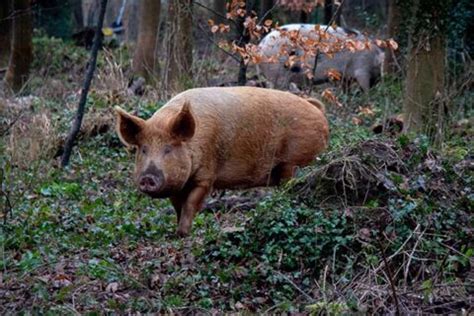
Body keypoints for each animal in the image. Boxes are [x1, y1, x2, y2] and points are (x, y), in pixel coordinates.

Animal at [115, 86, 330, 235]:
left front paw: (183, 234)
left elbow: (191, 203)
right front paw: (176, 232)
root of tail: (317, 110)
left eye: (168, 149)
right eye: (144, 149)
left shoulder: (206, 176)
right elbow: (177, 206)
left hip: (293, 162)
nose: (148, 178)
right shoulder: (176, 184)